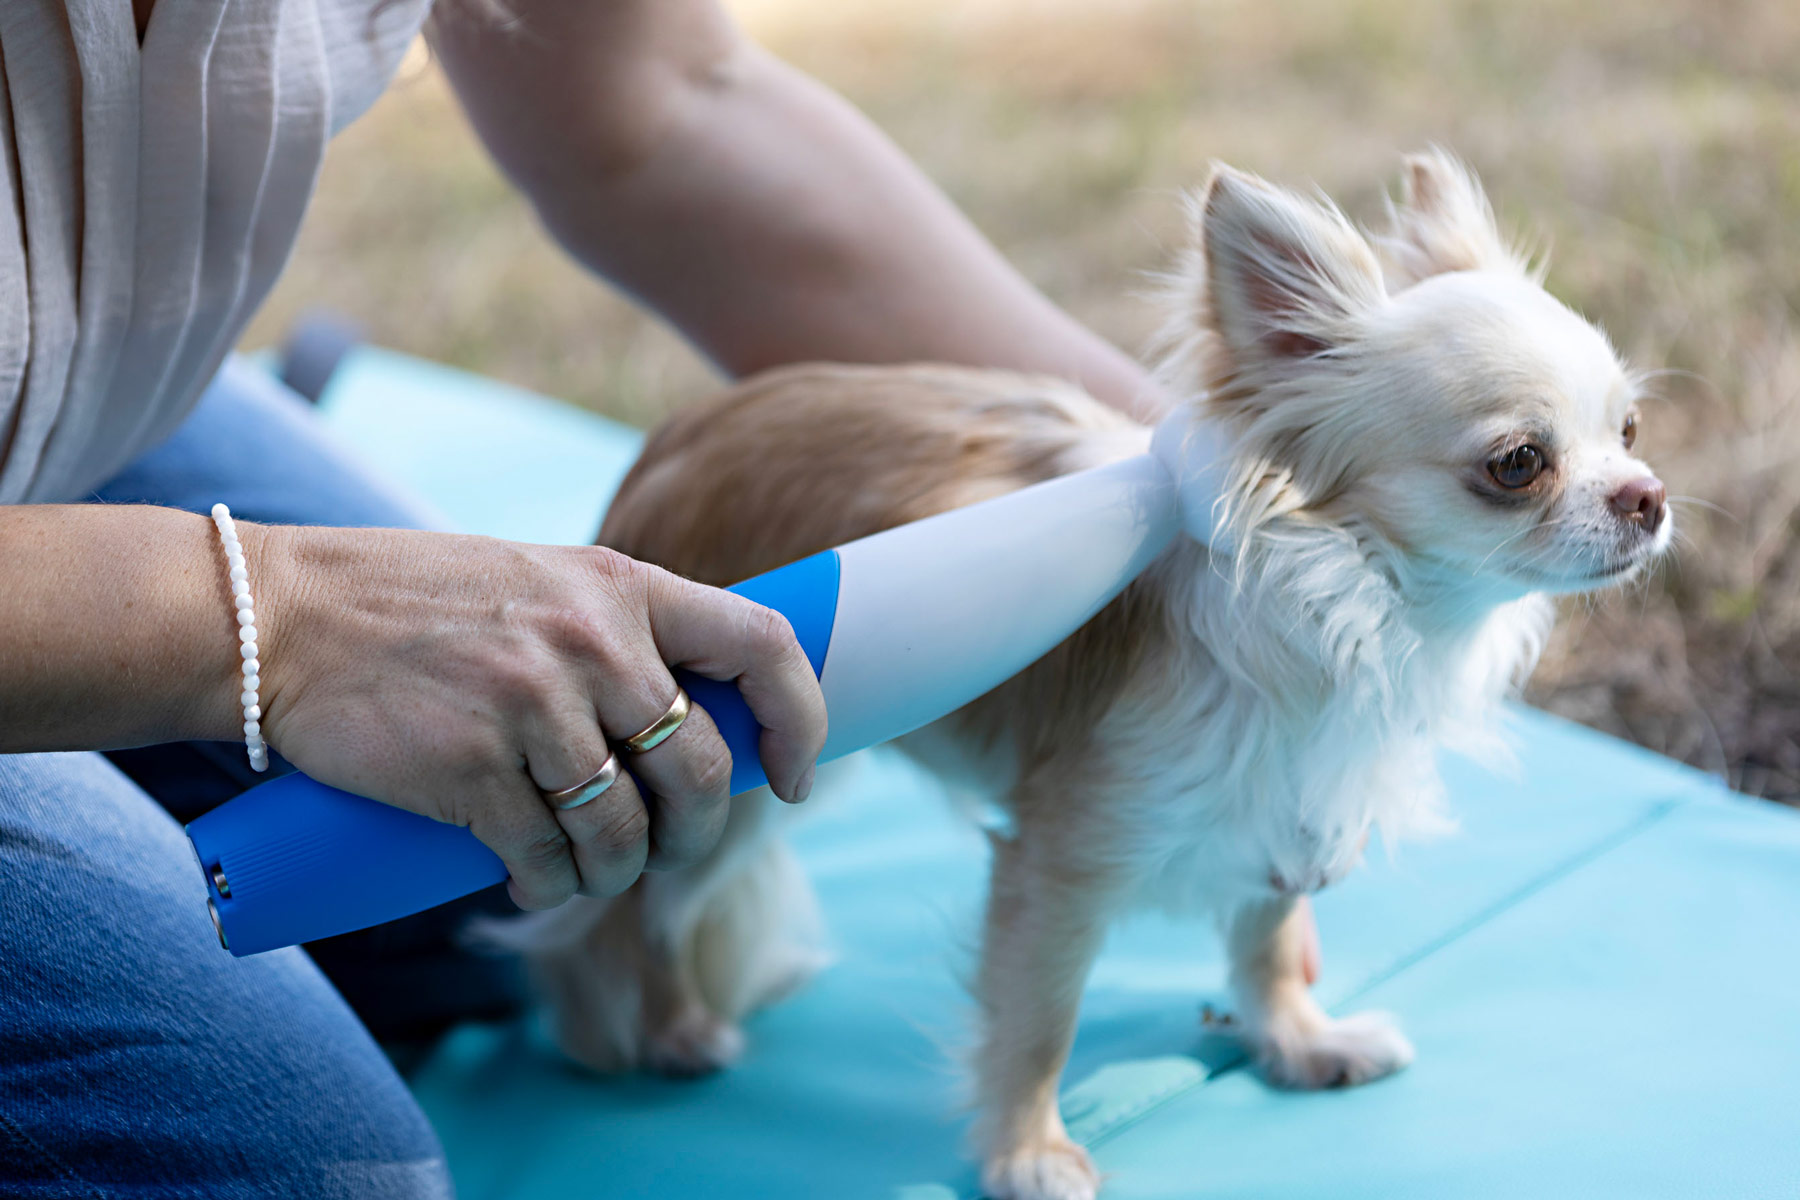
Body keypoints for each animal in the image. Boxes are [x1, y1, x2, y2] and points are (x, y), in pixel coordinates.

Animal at [496, 152, 1670, 1200]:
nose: (1649, 495)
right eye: (1518, 464)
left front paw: (1298, 1044)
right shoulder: (1061, 862)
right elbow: (1039, 1021)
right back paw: (665, 1030)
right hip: (716, 787)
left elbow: (1265, 943)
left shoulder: (1279, 810)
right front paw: (1027, 1155)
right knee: (633, 920)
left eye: (1630, 429)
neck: (1370, 606)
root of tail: (669, 446)